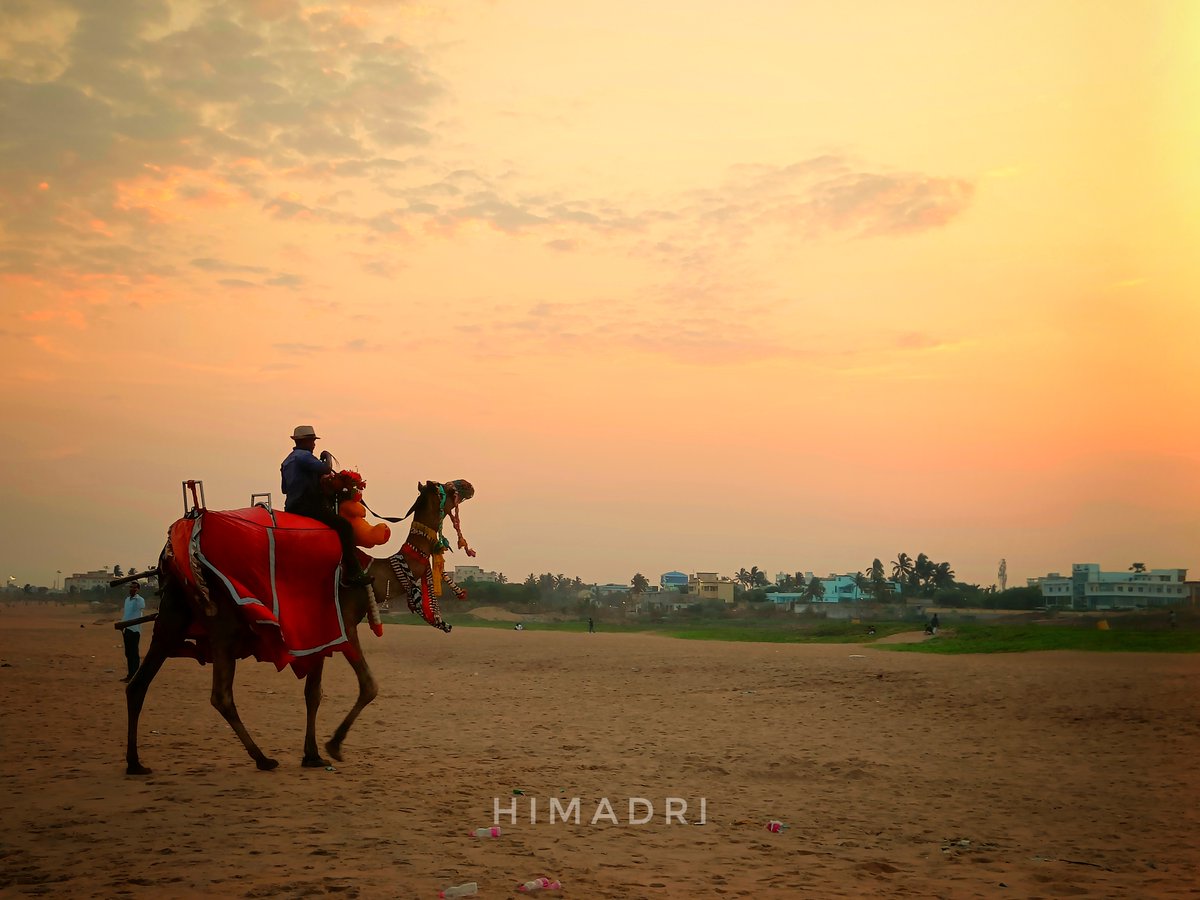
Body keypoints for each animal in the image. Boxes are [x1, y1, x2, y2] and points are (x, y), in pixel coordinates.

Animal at [125, 482, 472, 777]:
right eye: (446, 487)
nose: (468, 485)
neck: (376, 570)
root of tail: (184, 535)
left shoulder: (319, 630)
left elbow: (313, 693)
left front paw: (312, 754)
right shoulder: (344, 621)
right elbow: (369, 686)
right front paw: (334, 746)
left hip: (173, 614)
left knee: (138, 683)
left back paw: (135, 763)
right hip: (223, 622)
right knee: (221, 695)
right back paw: (263, 759)